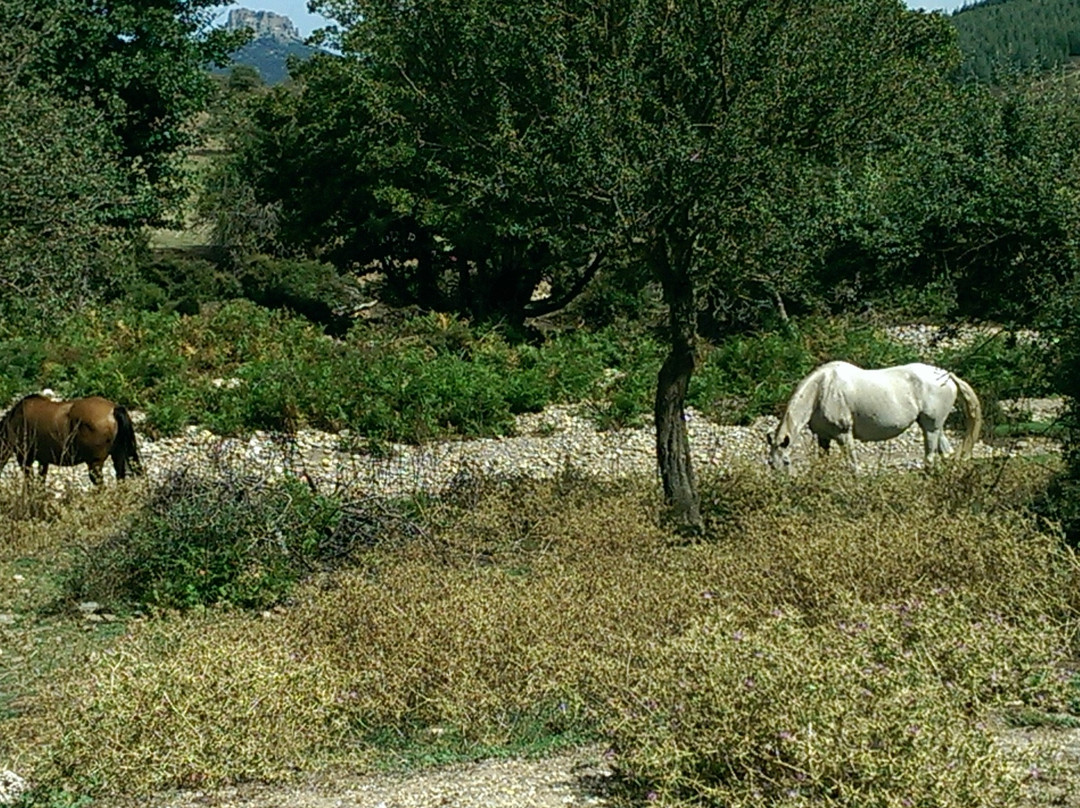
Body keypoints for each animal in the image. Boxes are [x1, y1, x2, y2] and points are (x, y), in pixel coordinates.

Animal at [764, 360, 984, 473]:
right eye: (770, 463)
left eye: (786, 462)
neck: (821, 390)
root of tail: (948, 376)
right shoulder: (823, 438)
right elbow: (822, 465)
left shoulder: (844, 435)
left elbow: (853, 466)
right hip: (933, 426)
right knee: (945, 454)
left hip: (931, 427)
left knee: (930, 458)